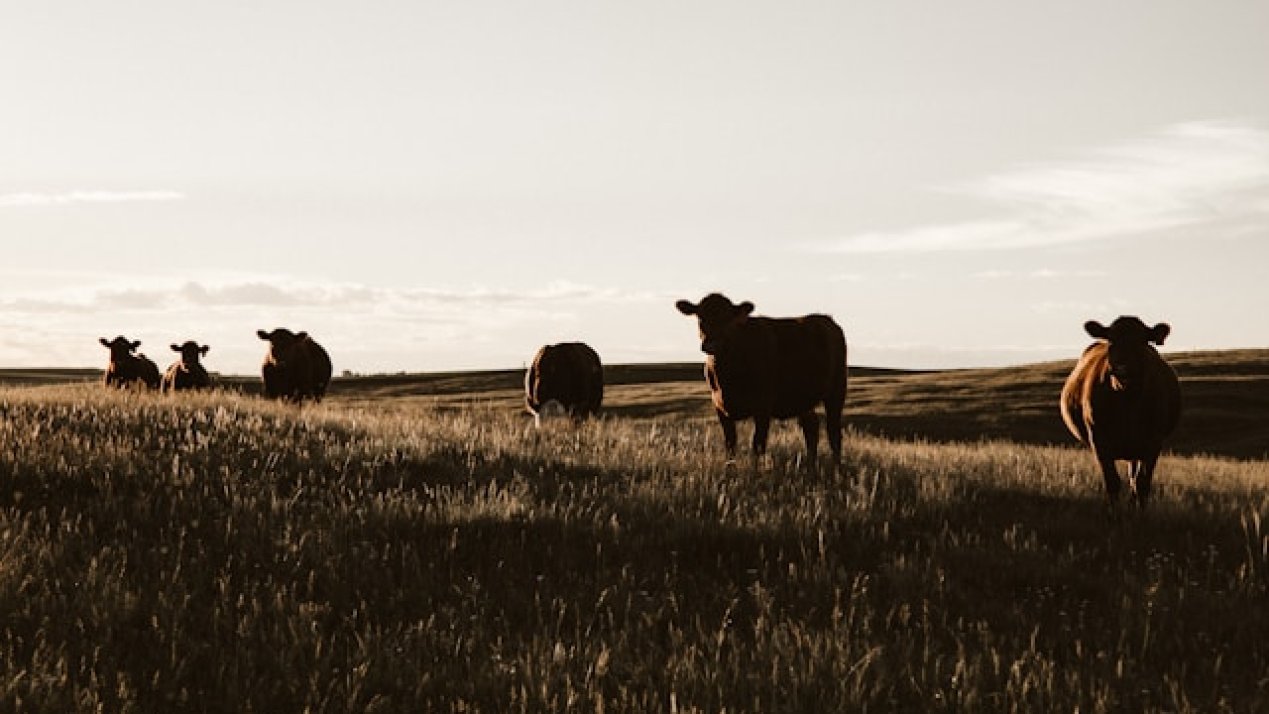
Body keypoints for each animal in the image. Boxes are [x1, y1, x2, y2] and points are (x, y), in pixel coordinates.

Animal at [675, 293, 848, 471]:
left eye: (728, 319)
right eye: (700, 317)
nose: (711, 344)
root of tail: (825, 319)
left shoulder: (763, 406)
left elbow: (758, 444)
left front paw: (755, 472)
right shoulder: (720, 407)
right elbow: (730, 444)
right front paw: (730, 471)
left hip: (837, 390)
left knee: (834, 431)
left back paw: (837, 467)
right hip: (803, 398)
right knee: (811, 428)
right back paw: (810, 466)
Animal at [1060, 316, 1182, 509]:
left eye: (1141, 341)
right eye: (1112, 341)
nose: (1122, 368)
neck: (1127, 398)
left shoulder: (1153, 441)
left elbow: (1142, 483)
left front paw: (1141, 514)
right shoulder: (1099, 439)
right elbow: (1112, 481)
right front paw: (1114, 513)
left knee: (1133, 478)